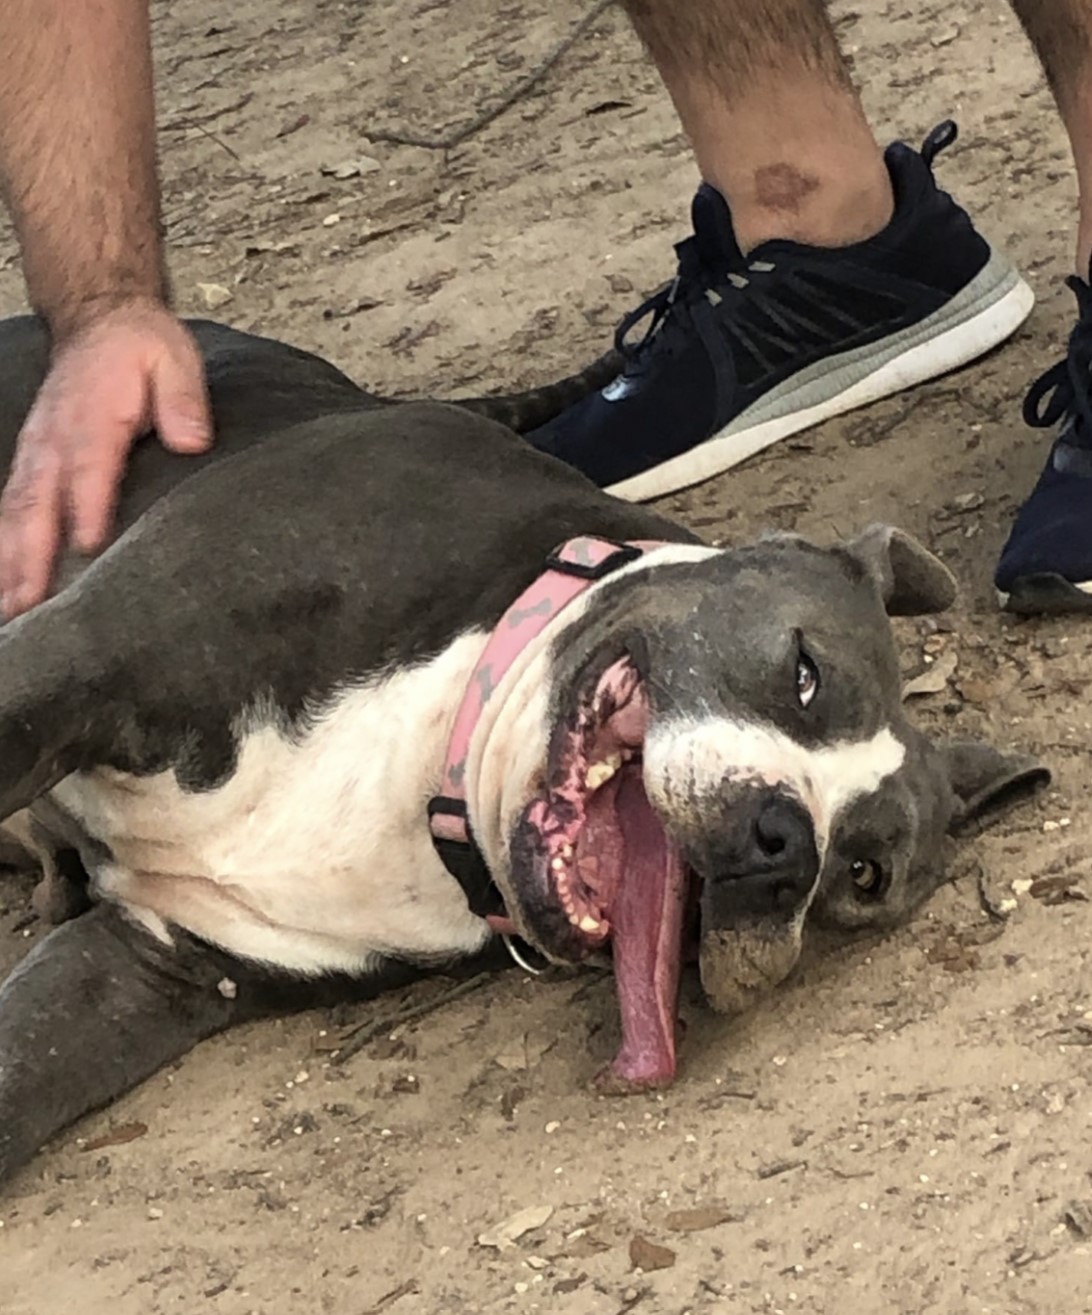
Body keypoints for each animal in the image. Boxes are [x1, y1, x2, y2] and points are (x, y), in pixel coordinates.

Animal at [0, 318, 1052, 1183]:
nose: (784, 846)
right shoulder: (91, 650)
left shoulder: (151, 965)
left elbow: (23, 1069)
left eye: (863, 874)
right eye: (805, 672)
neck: (434, 759)